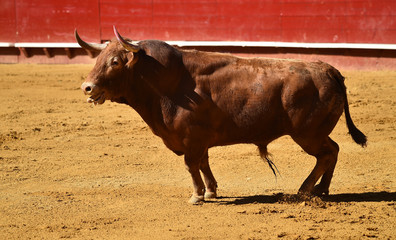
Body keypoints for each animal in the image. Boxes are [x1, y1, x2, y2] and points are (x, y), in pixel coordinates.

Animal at [76, 27, 366, 203]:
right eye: (97, 58)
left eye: (115, 62)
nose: (87, 87)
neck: (166, 81)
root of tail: (327, 69)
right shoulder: (199, 140)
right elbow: (203, 163)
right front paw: (211, 191)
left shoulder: (191, 138)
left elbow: (191, 165)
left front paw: (197, 196)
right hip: (314, 134)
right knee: (333, 151)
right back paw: (322, 189)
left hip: (308, 134)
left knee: (326, 154)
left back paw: (305, 190)